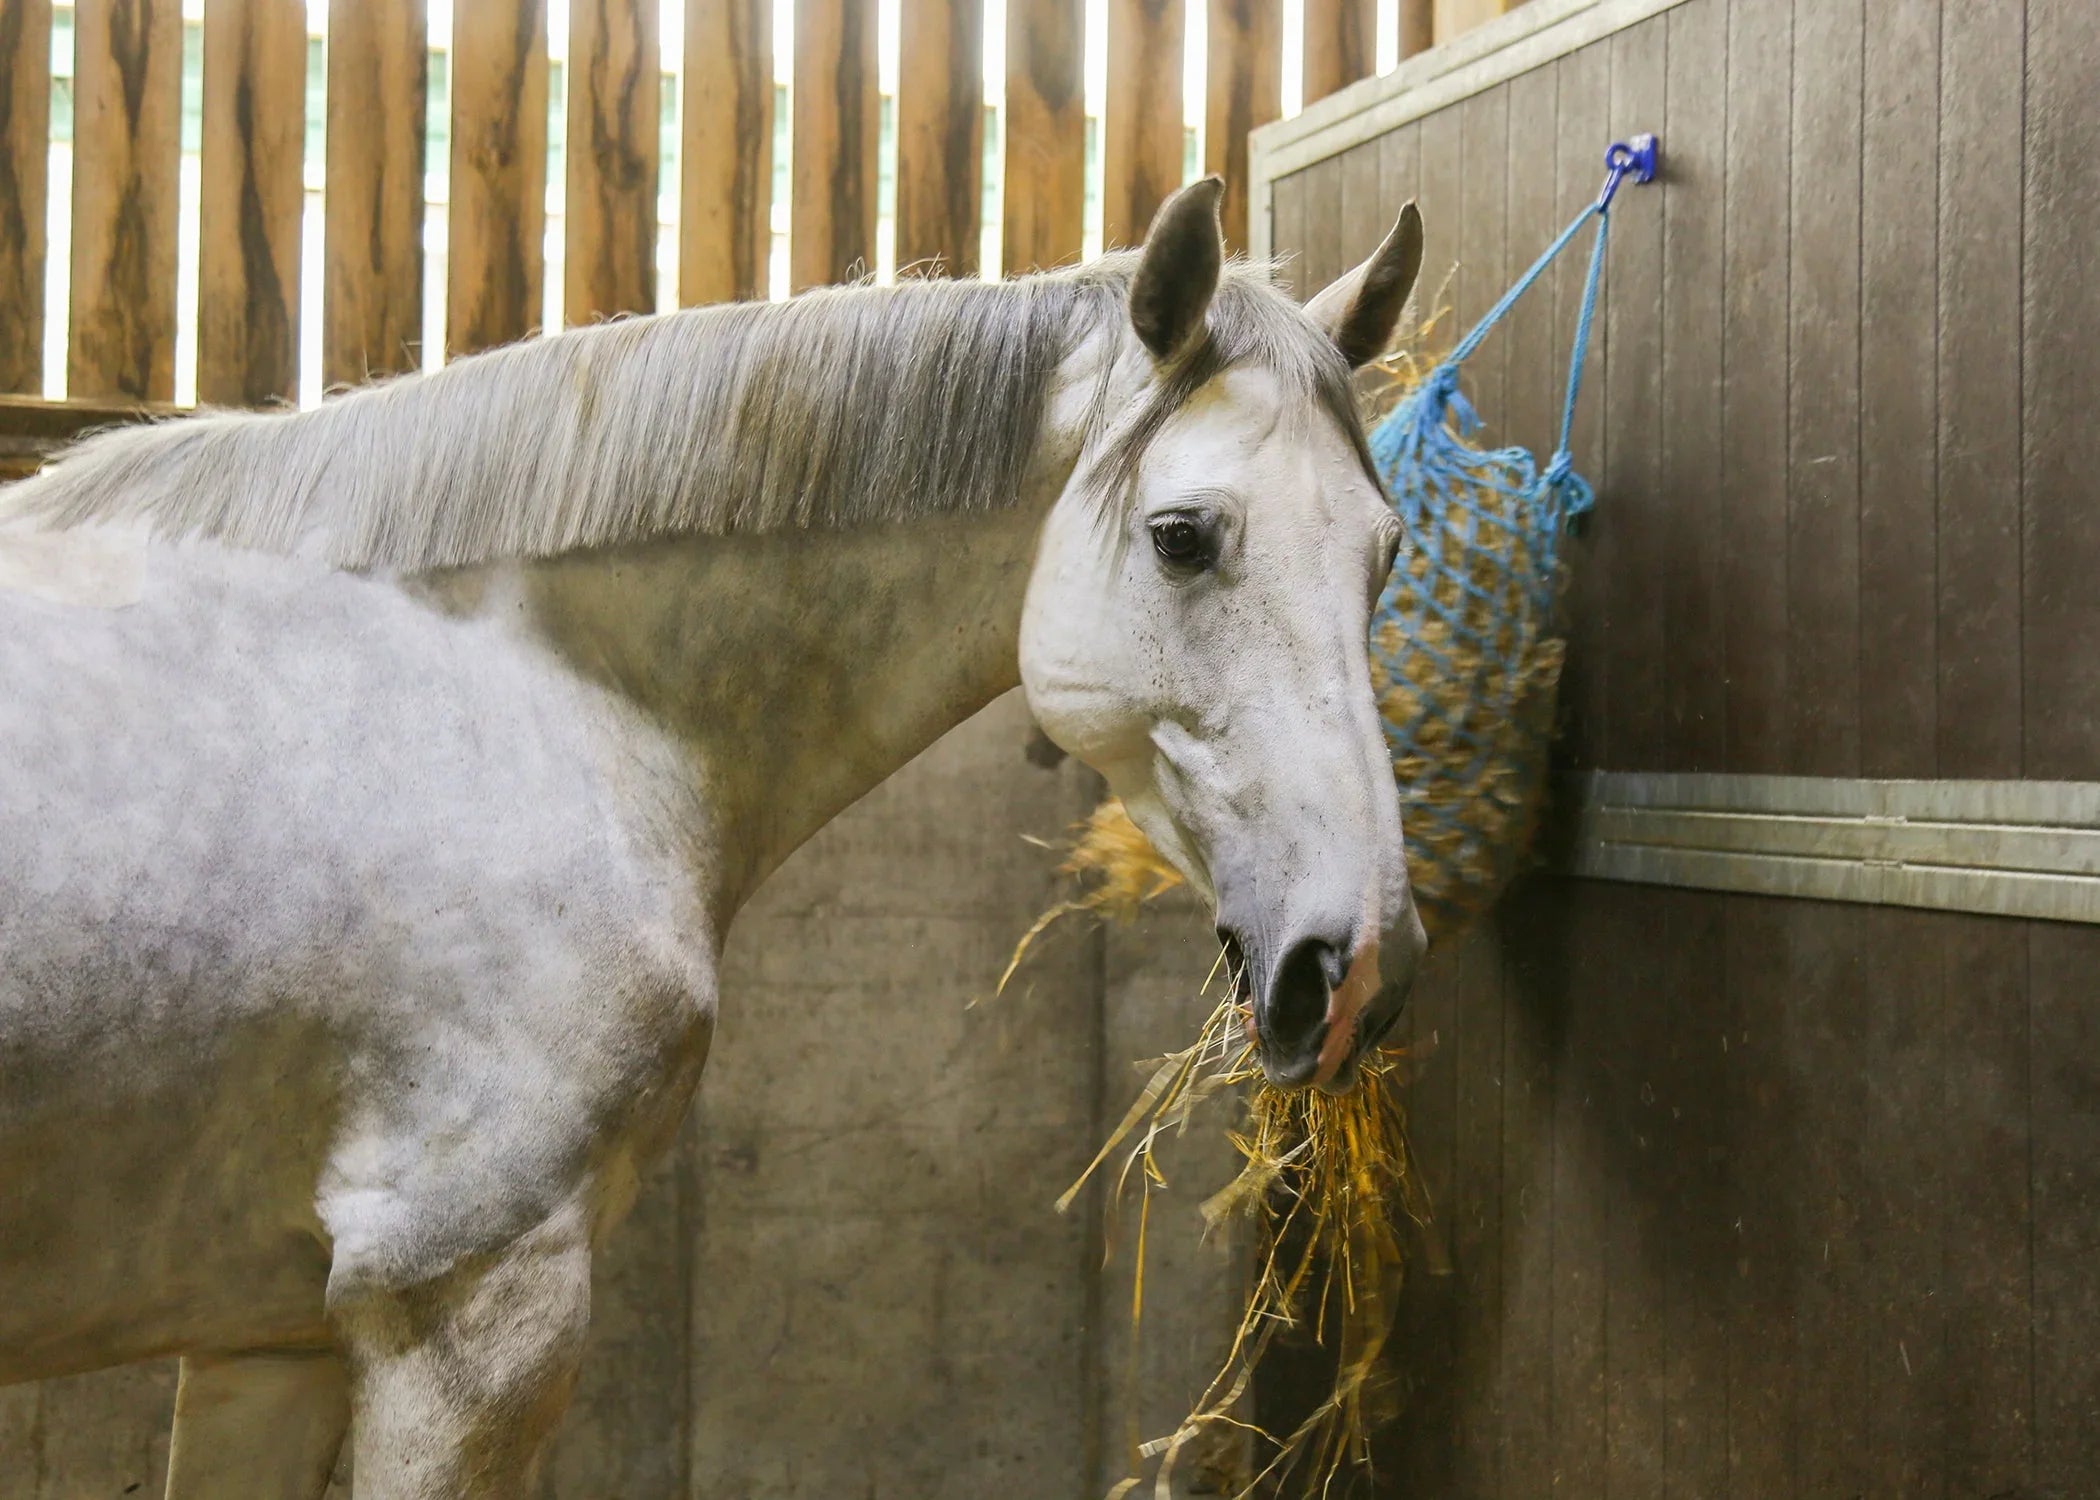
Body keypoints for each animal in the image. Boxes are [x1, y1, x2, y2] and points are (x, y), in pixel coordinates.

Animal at [0, 179, 1426, 1497]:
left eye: (1388, 551)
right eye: (1182, 537)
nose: (1355, 966)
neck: (518, 699)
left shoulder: (268, 1341)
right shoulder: (469, 1311)